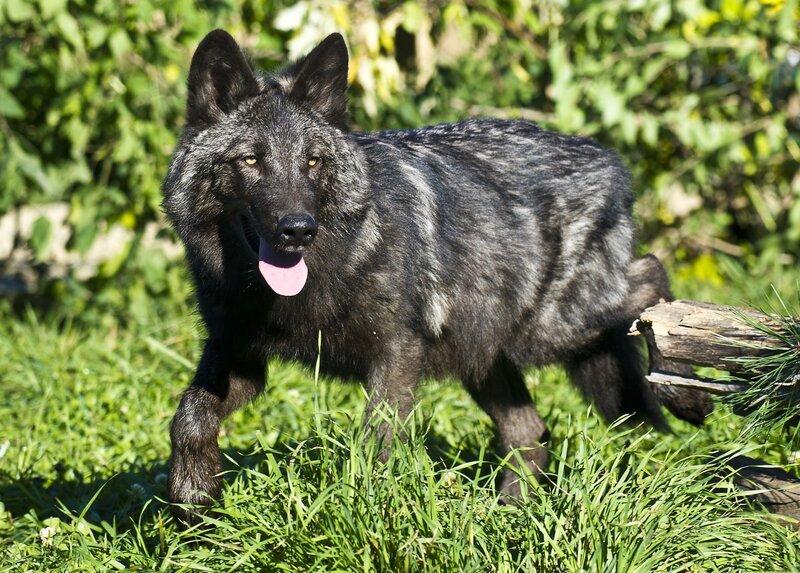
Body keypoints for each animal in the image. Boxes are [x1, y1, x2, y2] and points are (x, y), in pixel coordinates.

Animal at [162, 29, 710, 526]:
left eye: (312, 162)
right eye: (250, 160)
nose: (298, 229)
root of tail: (611, 161)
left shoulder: (396, 356)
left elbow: (377, 444)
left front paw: (369, 516)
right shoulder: (238, 352)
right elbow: (189, 415)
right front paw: (194, 498)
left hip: (552, 331)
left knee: (651, 276)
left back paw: (686, 389)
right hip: (488, 360)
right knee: (530, 433)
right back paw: (509, 516)